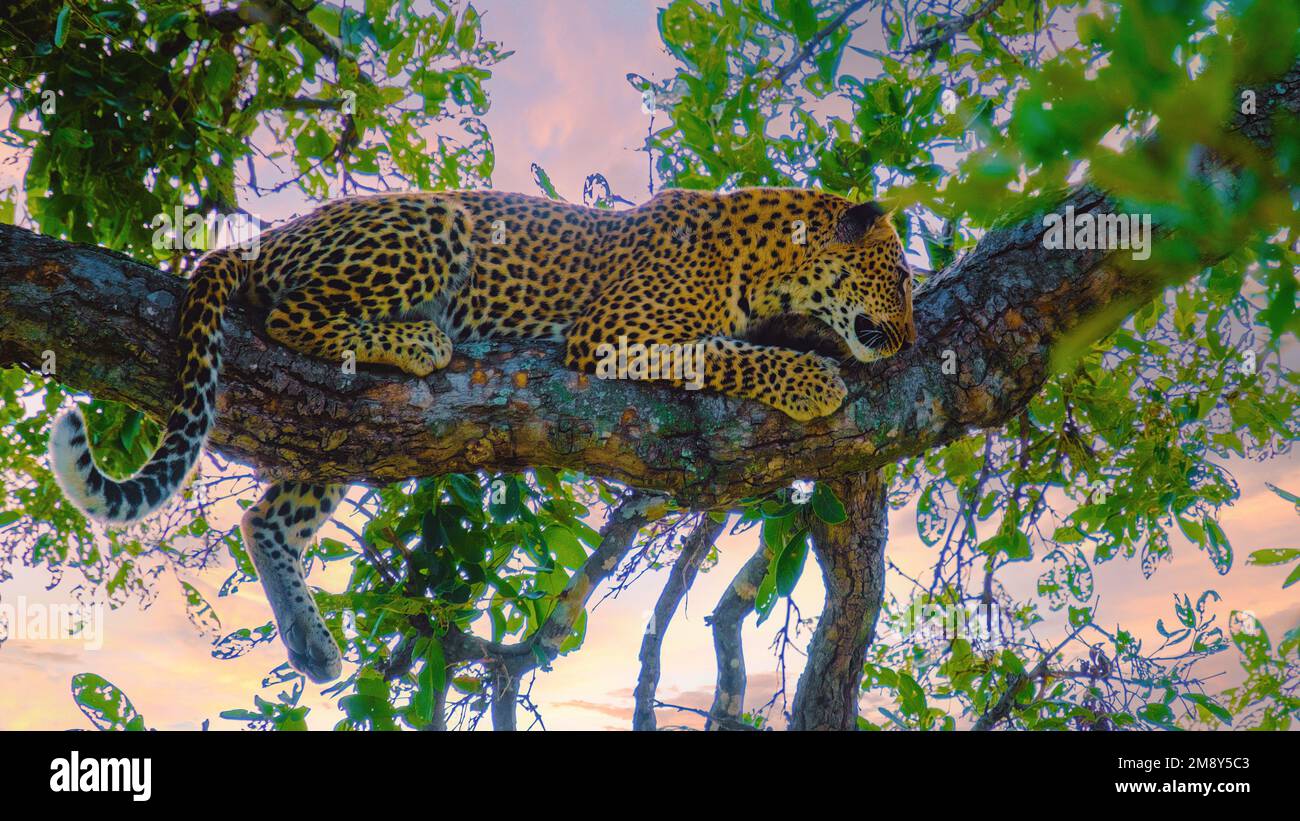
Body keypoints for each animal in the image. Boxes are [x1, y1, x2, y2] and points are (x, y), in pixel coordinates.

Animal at [48, 187, 916, 683]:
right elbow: (726, 351)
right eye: (904, 277)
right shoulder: (613, 332)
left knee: (267, 517)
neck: (773, 260)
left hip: (341, 433)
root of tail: (268, 237)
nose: (910, 338)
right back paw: (419, 340)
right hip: (434, 224)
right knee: (294, 315)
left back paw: (310, 643)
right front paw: (812, 381)